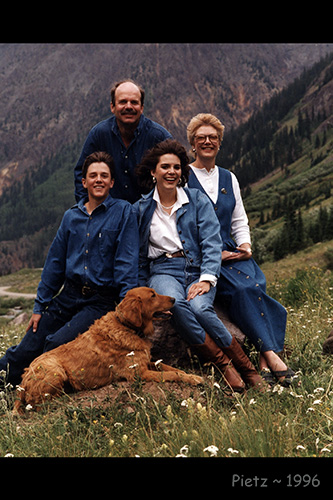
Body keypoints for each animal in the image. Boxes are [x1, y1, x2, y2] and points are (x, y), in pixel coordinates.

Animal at [13, 286, 202, 414]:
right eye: (152, 295)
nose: (174, 299)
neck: (128, 327)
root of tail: (22, 383)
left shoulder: (146, 362)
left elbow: (170, 368)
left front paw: (190, 374)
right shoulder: (139, 373)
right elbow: (171, 374)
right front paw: (193, 378)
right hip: (55, 370)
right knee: (40, 404)